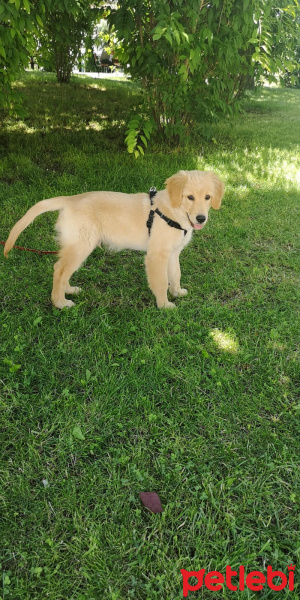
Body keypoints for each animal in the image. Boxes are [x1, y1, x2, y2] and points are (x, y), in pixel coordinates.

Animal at [4, 170, 225, 308]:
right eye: (190, 197)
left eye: (207, 197)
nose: (201, 218)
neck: (174, 211)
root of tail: (71, 199)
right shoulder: (157, 255)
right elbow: (162, 281)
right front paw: (164, 305)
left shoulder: (173, 253)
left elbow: (176, 274)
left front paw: (177, 292)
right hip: (82, 245)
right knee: (59, 270)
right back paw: (60, 303)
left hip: (77, 246)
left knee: (63, 270)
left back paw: (69, 290)